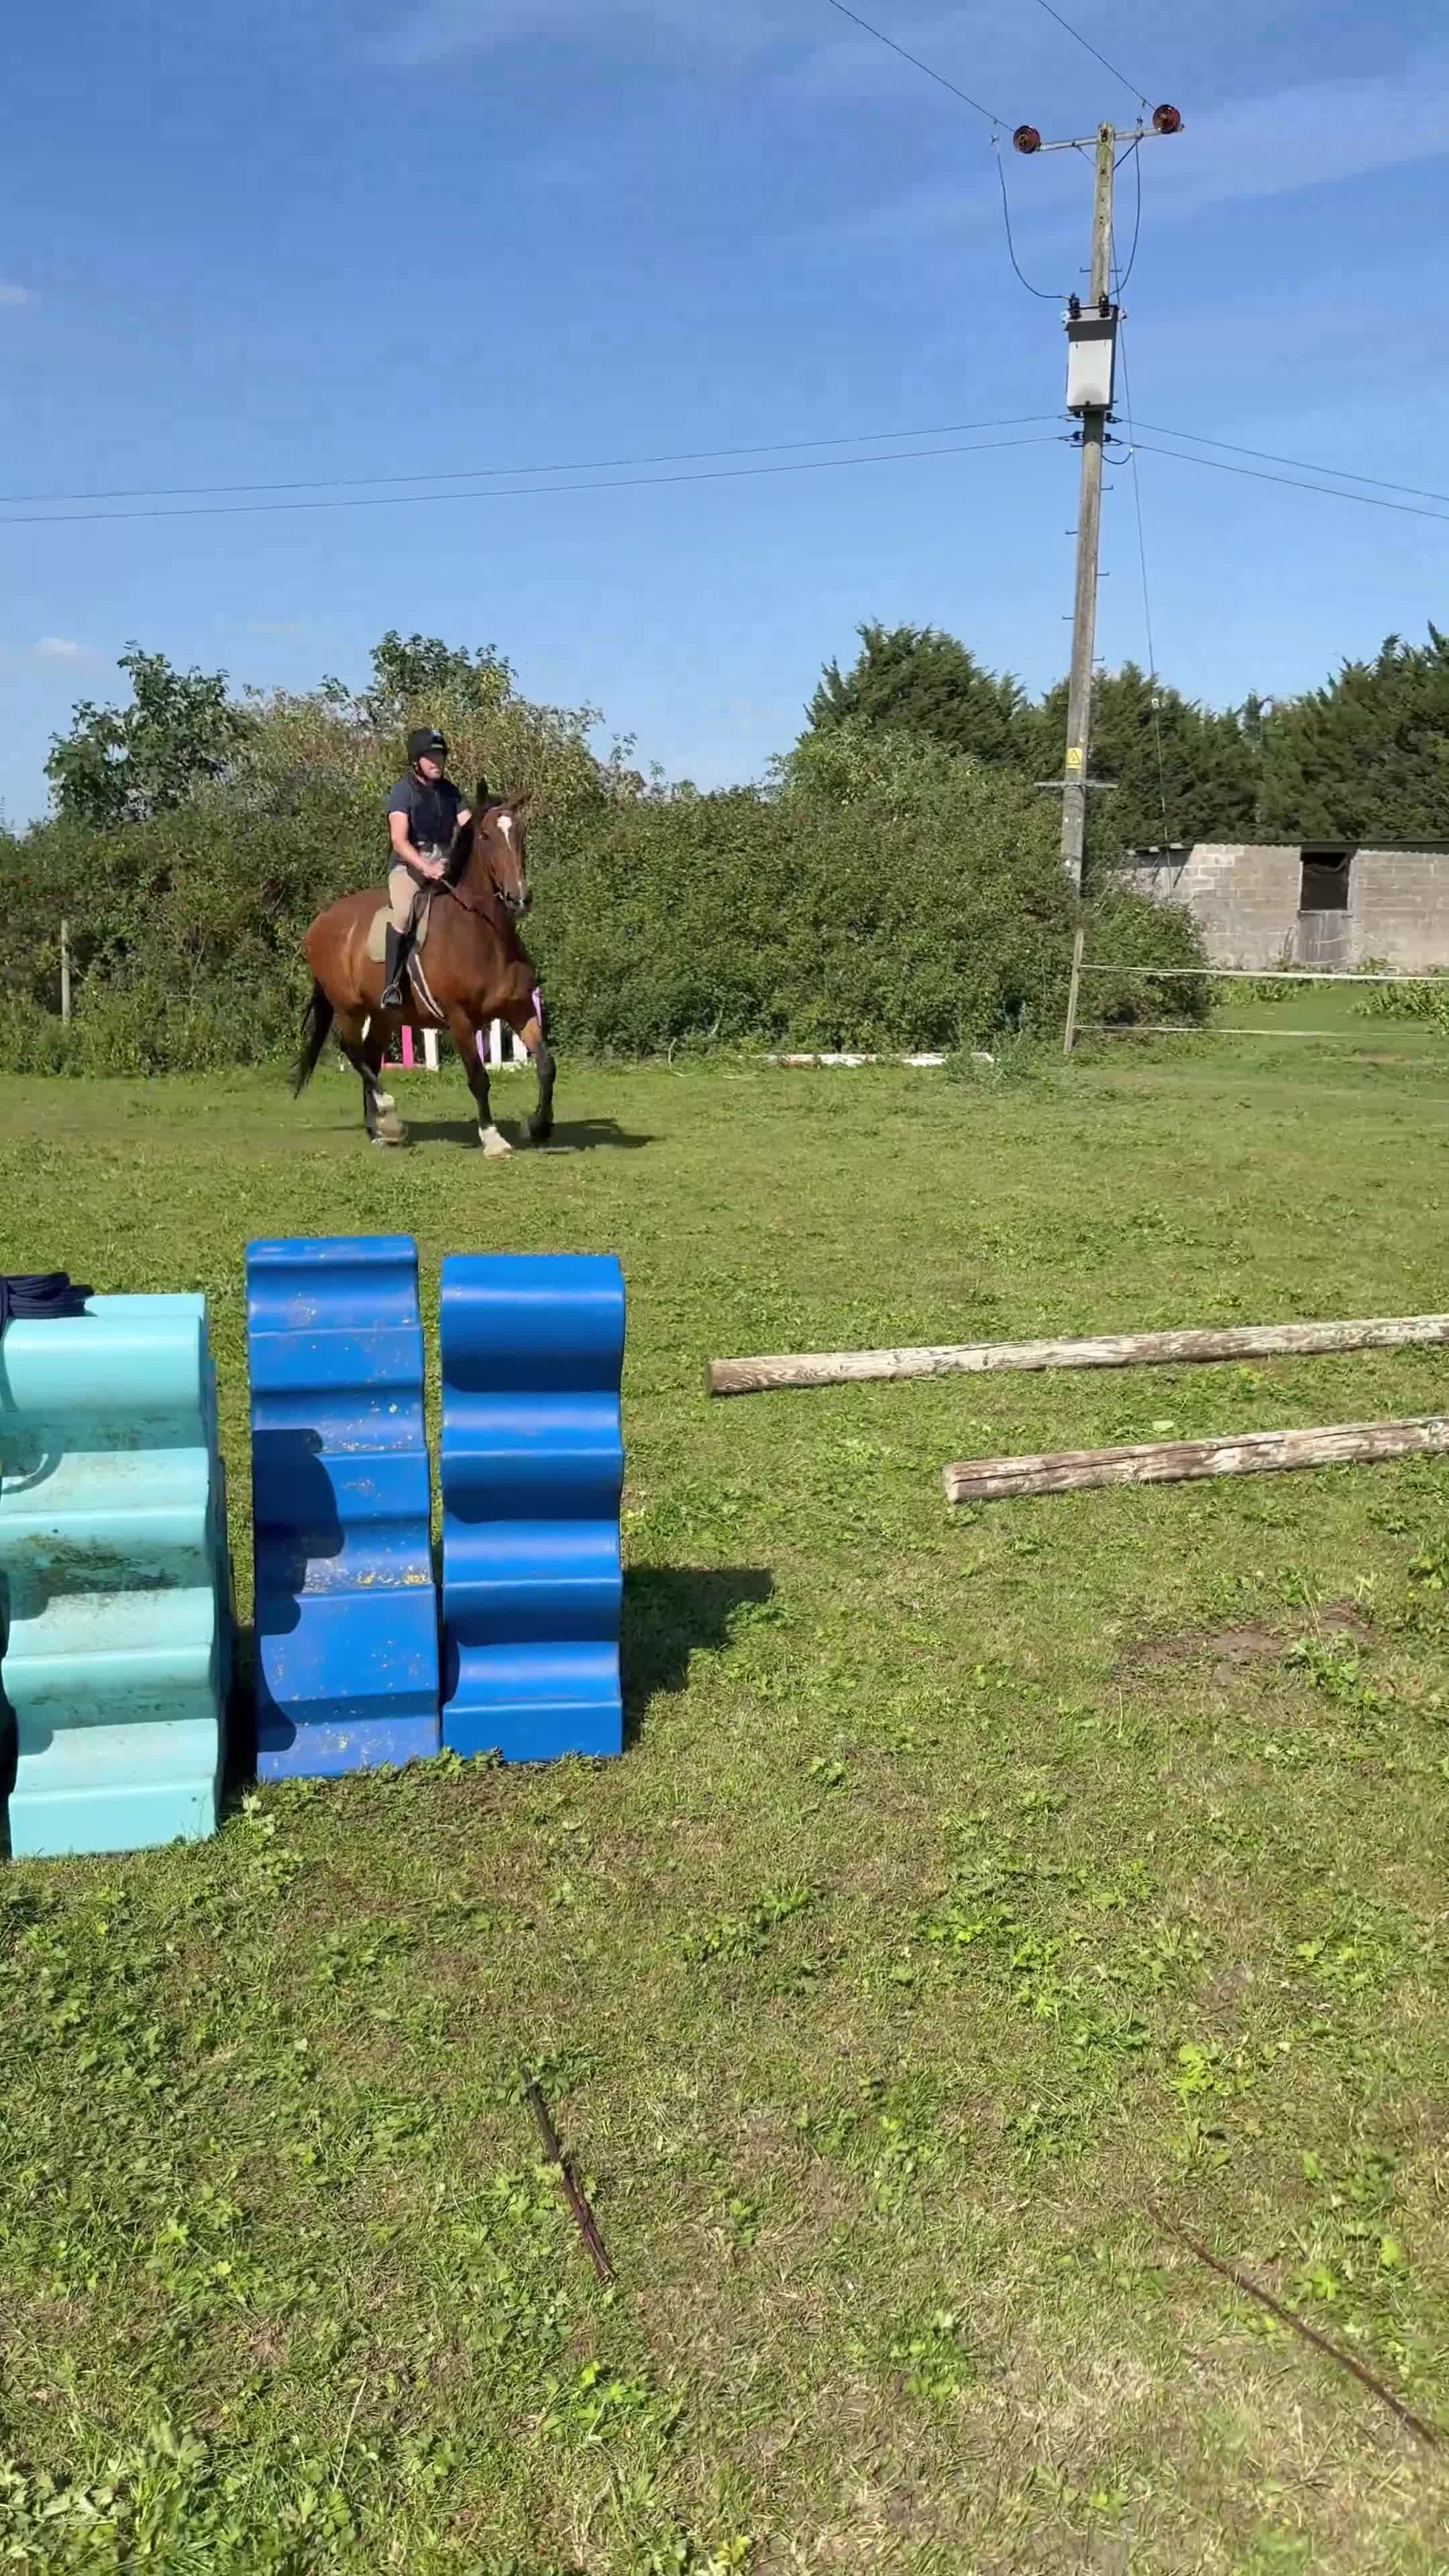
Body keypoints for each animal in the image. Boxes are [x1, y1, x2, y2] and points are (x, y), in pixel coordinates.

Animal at [291, 789, 554, 1155]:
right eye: (486, 836)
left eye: (521, 833)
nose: (519, 899)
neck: (485, 932)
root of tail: (320, 921)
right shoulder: (459, 1019)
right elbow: (478, 1077)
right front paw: (492, 1138)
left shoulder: (520, 1008)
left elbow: (546, 1066)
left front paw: (538, 1126)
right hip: (349, 1008)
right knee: (353, 1051)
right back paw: (389, 1114)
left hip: (383, 1015)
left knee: (370, 1056)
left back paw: (379, 1130)